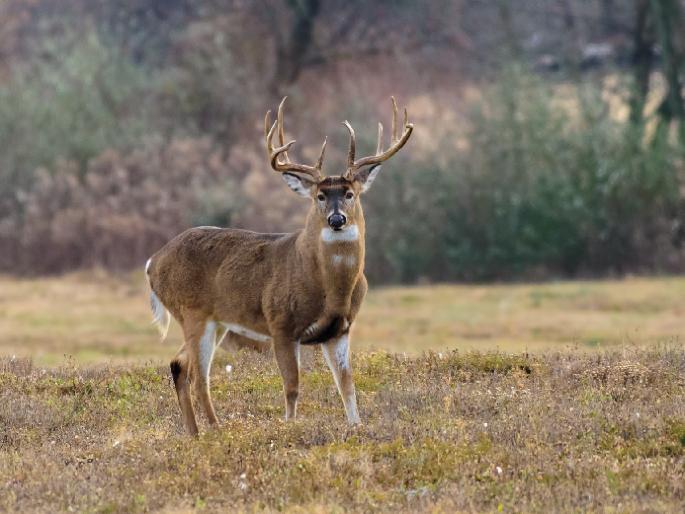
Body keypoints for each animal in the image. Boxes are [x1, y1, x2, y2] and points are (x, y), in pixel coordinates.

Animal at [144, 95, 412, 432]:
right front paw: (289, 426)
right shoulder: (281, 323)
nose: (336, 219)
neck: (329, 287)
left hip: (217, 321)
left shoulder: (340, 330)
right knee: (198, 378)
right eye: (320, 196)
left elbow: (347, 385)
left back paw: (195, 434)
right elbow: (292, 386)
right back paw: (217, 431)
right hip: (192, 312)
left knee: (178, 365)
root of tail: (152, 262)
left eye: (350, 193)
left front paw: (356, 427)